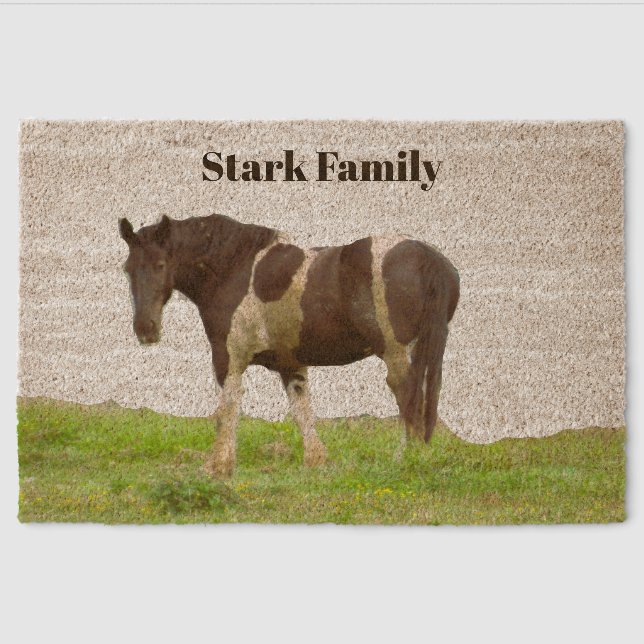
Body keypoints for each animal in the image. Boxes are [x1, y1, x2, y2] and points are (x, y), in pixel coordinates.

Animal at [119, 213, 460, 477]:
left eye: (161, 264)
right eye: (128, 268)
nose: (145, 329)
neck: (234, 268)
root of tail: (429, 259)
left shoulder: (228, 360)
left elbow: (226, 410)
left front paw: (218, 467)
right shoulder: (290, 364)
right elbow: (301, 411)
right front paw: (316, 461)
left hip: (396, 353)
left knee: (408, 397)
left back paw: (406, 460)